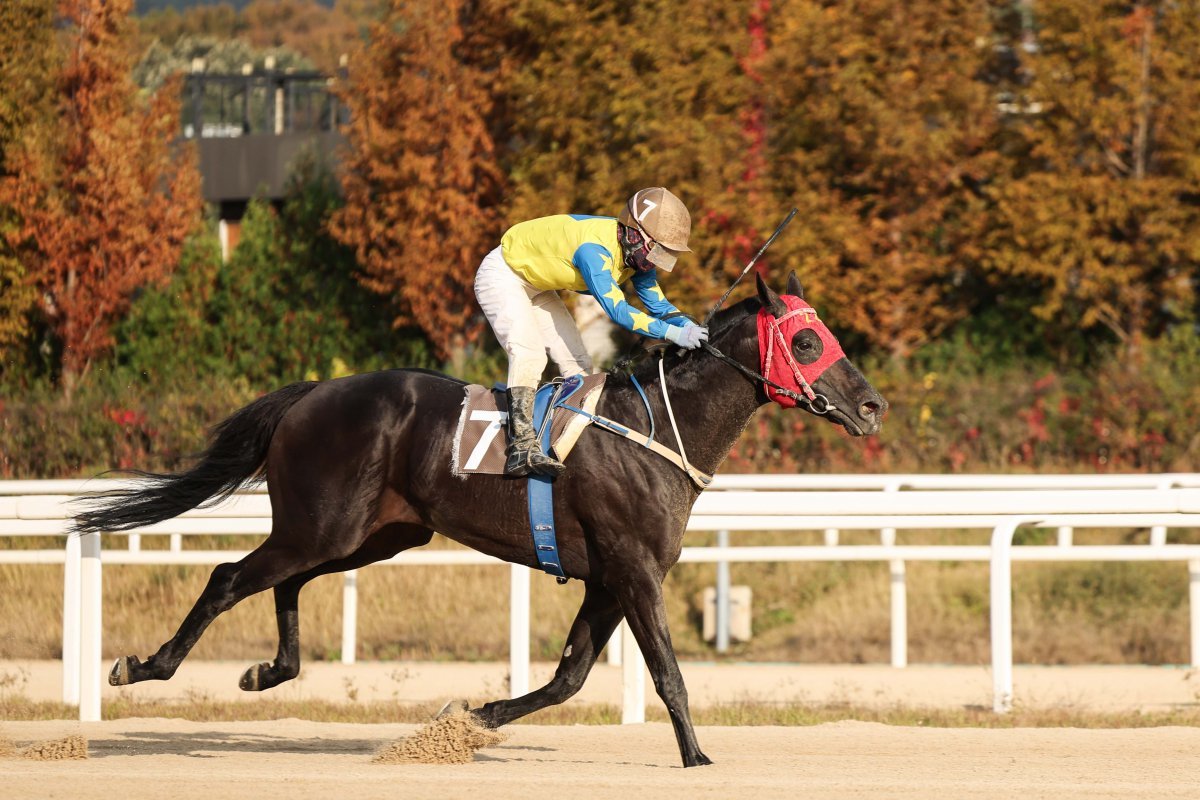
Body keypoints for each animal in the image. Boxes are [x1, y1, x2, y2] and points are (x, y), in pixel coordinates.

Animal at [72, 272, 883, 767]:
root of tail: (310, 395)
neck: (655, 428)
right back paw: (143, 665)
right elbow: (666, 674)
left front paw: (468, 719)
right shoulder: (634, 571)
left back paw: (270, 670)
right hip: (325, 525)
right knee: (228, 576)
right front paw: (697, 756)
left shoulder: (608, 580)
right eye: (807, 340)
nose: (871, 405)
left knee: (285, 583)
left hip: (375, 534)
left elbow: (568, 678)